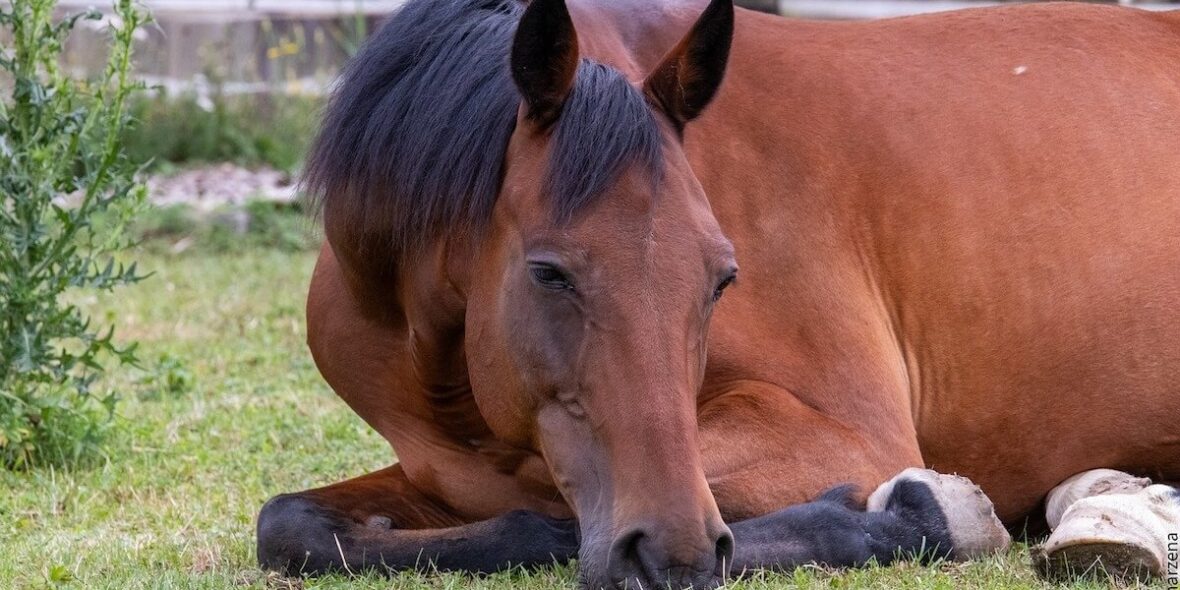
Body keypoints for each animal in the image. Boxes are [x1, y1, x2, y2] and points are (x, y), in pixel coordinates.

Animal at [255, 0, 1180, 587]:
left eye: (723, 277)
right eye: (547, 271)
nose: (671, 554)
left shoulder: (845, 437)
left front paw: (916, 515)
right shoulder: (447, 469)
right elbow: (290, 525)